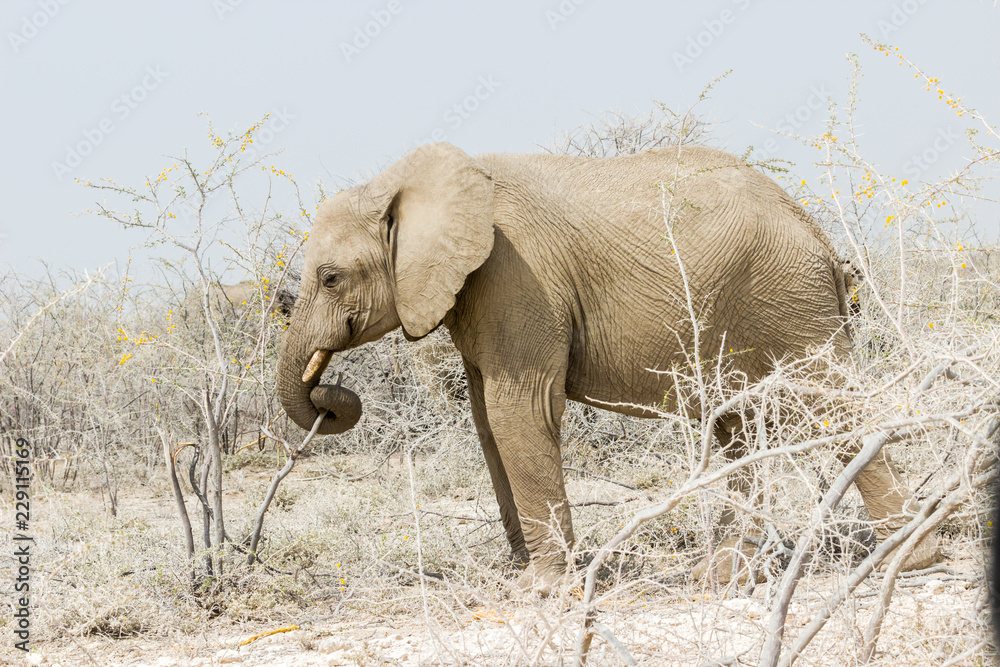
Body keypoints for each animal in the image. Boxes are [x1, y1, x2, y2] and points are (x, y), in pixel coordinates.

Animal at [276, 142, 940, 591]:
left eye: (330, 278)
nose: (333, 398)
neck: (400, 184)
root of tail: (820, 237)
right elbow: (488, 420)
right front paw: (521, 571)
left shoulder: (517, 276)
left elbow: (520, 409)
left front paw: (541, 589)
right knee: (739, 425)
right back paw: (723, 577)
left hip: (789, 297)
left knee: (831, 405)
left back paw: (911, 560)